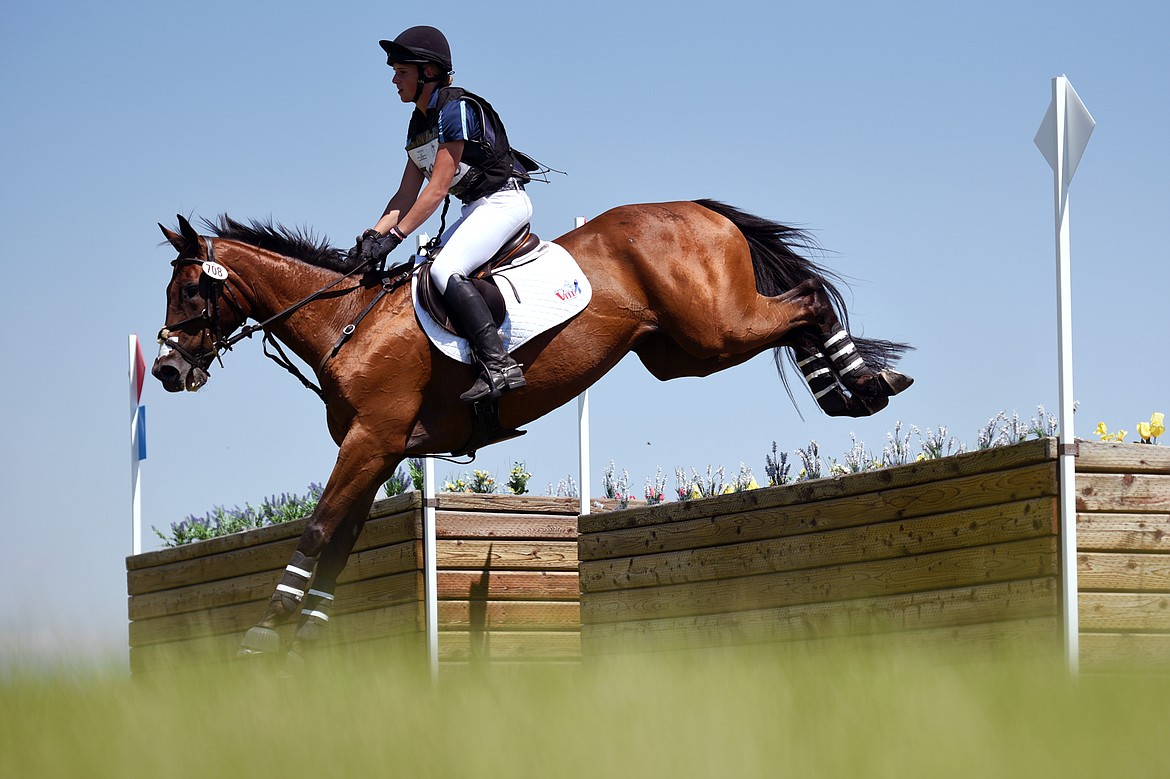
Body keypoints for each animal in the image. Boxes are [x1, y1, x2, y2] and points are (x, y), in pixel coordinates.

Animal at [150, 197, 912, 659]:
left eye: (187, 291)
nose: (164, 368)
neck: (347, 323)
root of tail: (698, 207)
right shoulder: (379, 451)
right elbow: (336, 546)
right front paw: (304, 637)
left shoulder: (370, 441)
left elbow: (314, 530)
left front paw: (264, 633)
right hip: (680, 352)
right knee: (794, 310)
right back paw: (852, 390)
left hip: (714, 327)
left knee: (806, 299)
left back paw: (863, 385)